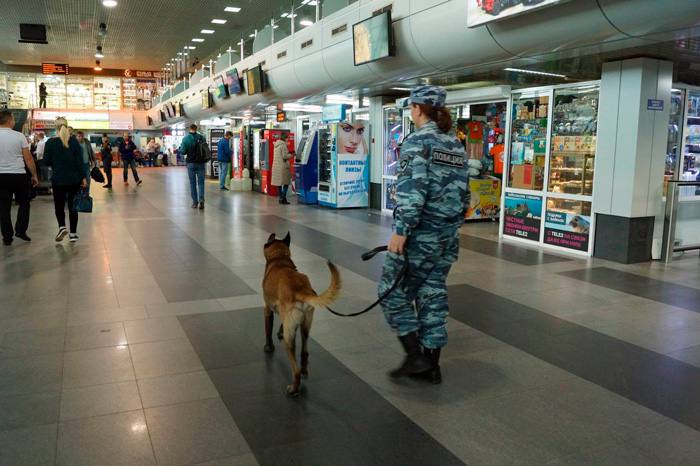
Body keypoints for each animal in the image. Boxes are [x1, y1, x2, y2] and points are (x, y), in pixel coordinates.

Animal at [262, 233, 340, 396]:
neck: (280, 260)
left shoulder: (268, 309)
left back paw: (294, 388)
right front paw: (278, 332)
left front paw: (268, 346)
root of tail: (301, 290)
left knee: (295, 369)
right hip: (305, 327)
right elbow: (280, 323)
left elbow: (268, 330)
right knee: (304, 352)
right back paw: (304, 370)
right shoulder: (284, 315)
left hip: (289, 340)